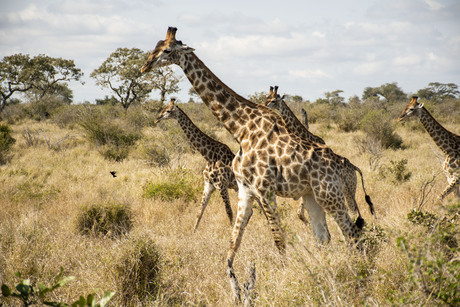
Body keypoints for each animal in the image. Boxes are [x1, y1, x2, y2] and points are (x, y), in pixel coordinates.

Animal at [156, 98, 239, 231]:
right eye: (163, 108)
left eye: (168, 110)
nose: (157, 118)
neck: (209, 156)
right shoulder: (208, 185)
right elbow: (199, 213)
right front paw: (193, 232)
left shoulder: (222, 185)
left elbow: (229, 212)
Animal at [264, 85, 376, 220]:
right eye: (266, 97)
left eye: (274, 100)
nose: (264, 105)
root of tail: (355, 168)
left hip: (349, 189)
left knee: (353, 210)